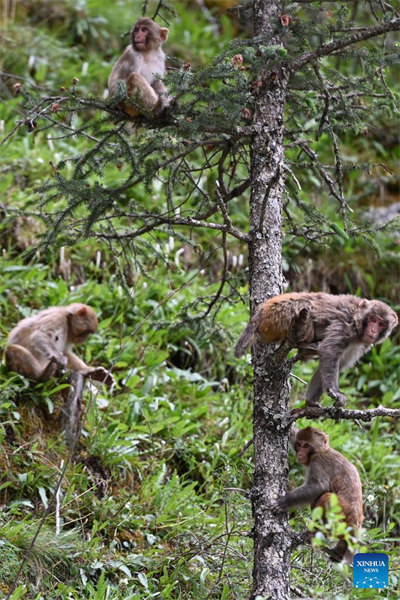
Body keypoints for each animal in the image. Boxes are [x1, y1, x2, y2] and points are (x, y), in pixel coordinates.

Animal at [234, 290, 396, 408]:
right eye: (373, 319)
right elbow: (329, 351)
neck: (359, 326)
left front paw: (311, 401)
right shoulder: (346, 325)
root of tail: (263, 307)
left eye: (381, 324)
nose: (373, 330)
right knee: (304, 304)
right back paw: (305, 344)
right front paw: (336, 392)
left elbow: (336, 363)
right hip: (278, 315)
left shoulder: (359, 345)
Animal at [272, 426, 362, 564]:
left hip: (341, 516)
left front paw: (285, 502)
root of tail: (355, 523)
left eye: (306, 446)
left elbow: (319, 487)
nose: (299, 453)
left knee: (326, 497)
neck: (321, 451)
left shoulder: (319, 463)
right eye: (299, 444)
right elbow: (293, 434)